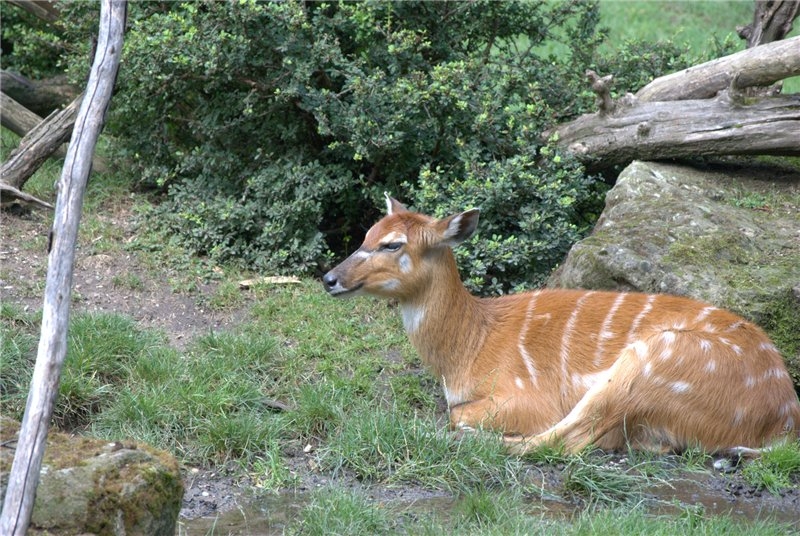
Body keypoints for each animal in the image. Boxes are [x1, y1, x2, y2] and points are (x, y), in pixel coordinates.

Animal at [322, 195, 800, 458]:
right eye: (366, 234)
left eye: (392, 244)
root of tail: (782, 420)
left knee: (567, 440)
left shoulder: (527, 394)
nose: (329, 278)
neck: (469, 348)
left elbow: (458, 414)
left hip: (652, 360)